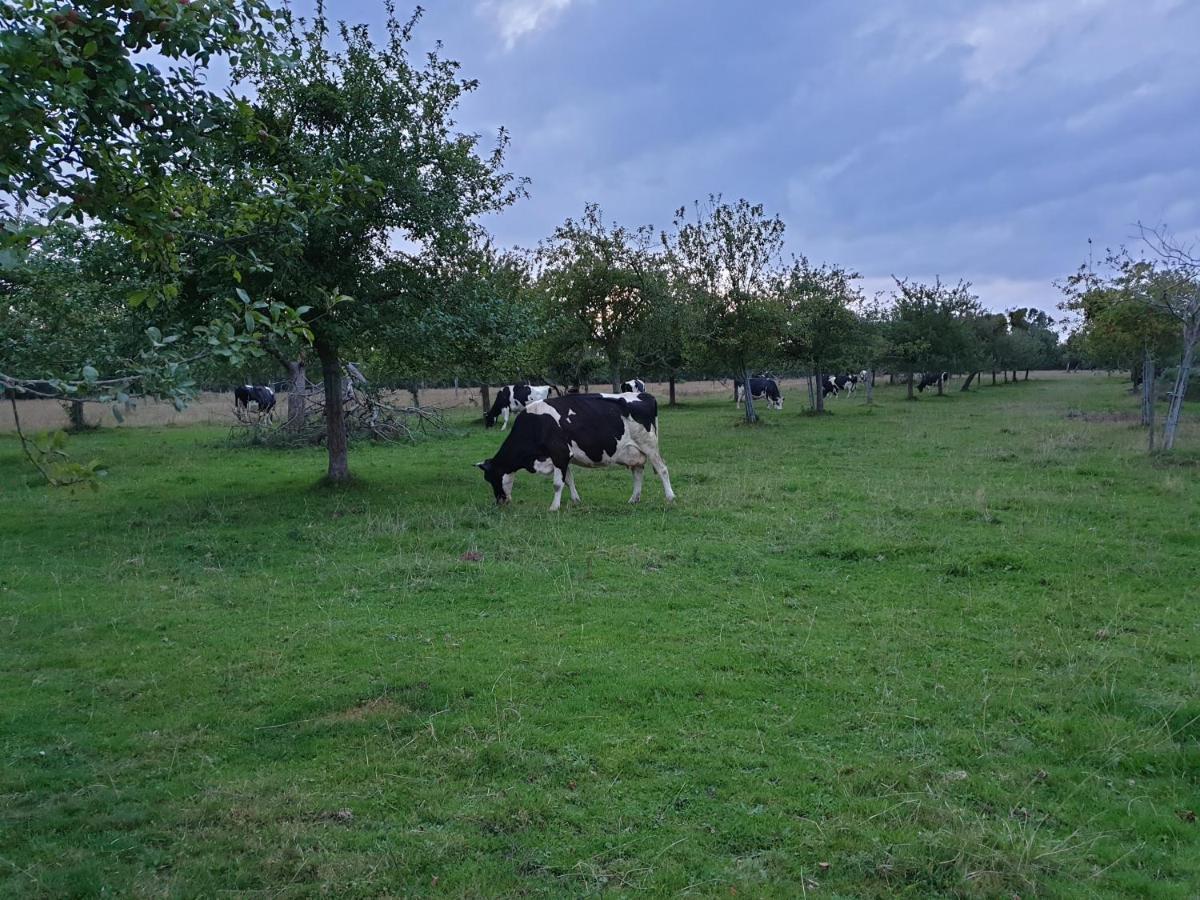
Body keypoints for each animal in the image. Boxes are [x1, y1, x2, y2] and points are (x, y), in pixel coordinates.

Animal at [472, 391, 676, 511]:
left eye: (491, 478)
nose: (499, 501)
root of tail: (644, 394)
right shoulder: (563, 457)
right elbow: (568, 480)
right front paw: (576, 500)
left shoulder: (559, 454)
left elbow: (557, 484)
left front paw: (554, 507)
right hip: (633, 450)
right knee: (638, 472)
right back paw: (634, 499)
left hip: (649, 445)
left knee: (662, 469)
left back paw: (670, 497)